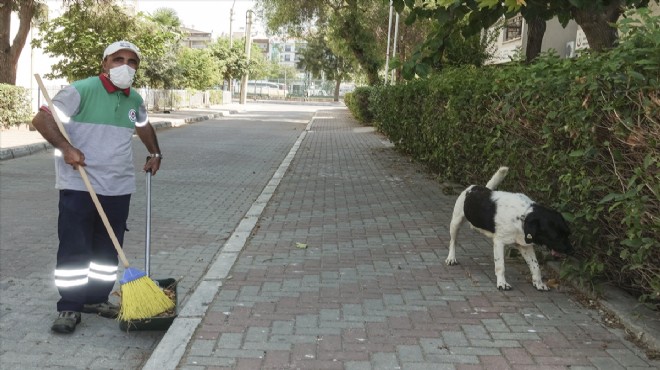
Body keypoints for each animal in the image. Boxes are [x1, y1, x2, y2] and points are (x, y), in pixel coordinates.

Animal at [446, 166, 576, 290]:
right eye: (556, 237)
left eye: (568, 234)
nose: (572, 251)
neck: (523, 217)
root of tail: (473, 187)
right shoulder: (499, 242)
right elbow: (500, 266)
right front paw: (502, 283)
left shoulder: (525, 246)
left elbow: (535, 266)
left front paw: (539, 284)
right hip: (455, 223)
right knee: (453, 241)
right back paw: (451, 258)